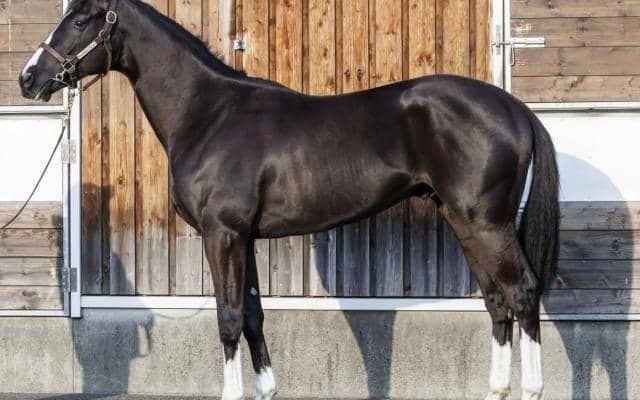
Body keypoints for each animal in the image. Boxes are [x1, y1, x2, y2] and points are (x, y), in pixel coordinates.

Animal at [19, 0, 559, 399]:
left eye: (81, 20)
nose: (28, 77)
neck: (209, 114)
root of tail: (512, 107)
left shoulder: (223, 235)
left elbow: (229, 318)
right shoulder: (246, 239)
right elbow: (253, 316)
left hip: (487, 222)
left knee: (522, 292)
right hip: (464, 220)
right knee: (497, 301)